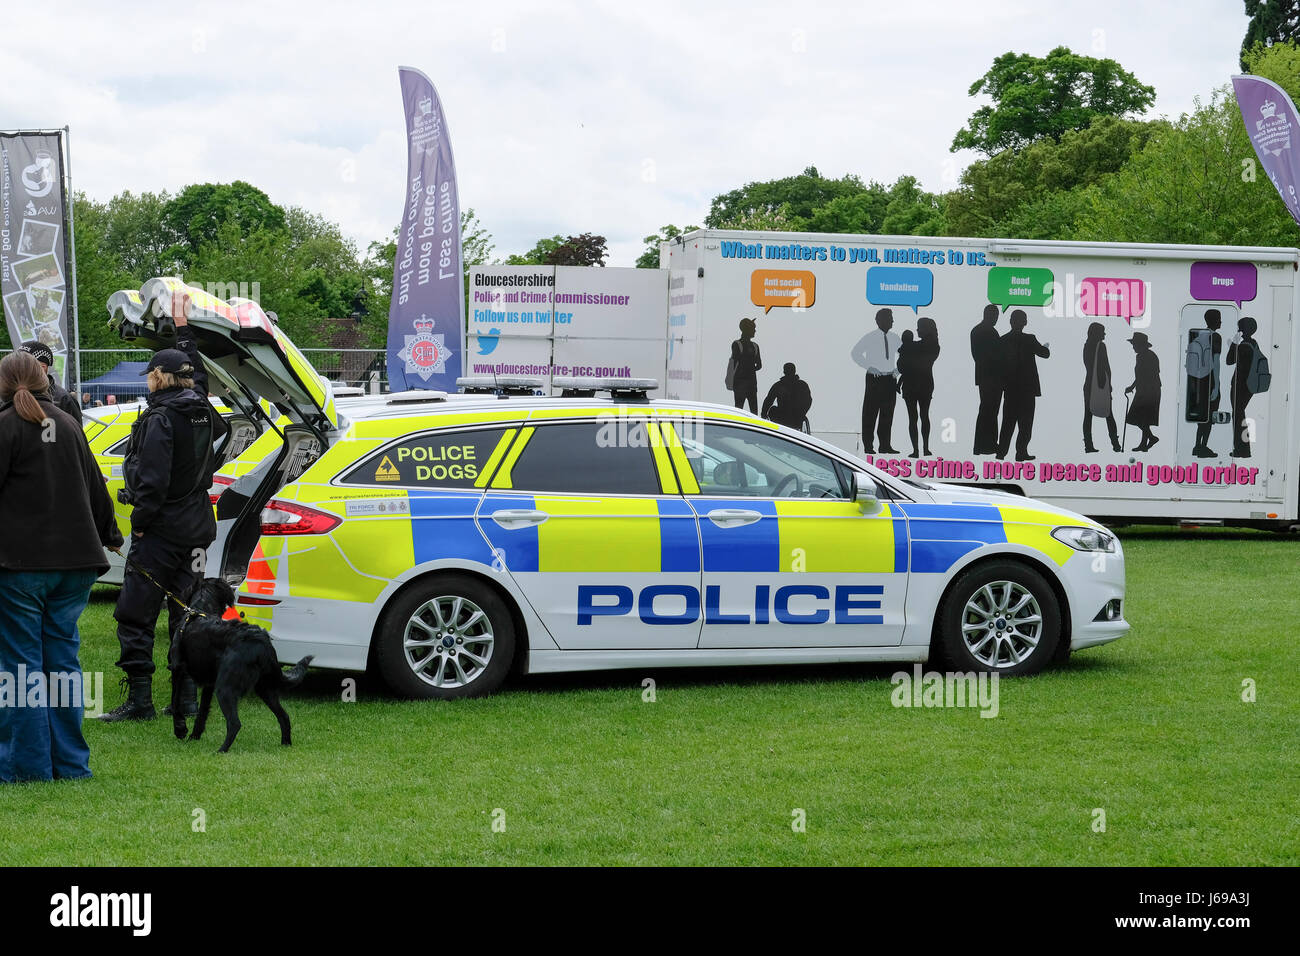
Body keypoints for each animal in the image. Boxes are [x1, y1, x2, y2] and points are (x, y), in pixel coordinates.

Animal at [169, 574, 313, 754]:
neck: (201, 610)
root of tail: (262, 642)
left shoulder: (177, 669)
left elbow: (176, 704)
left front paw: (180, 730)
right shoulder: (209, 684)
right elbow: (202, 712)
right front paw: (194, 736)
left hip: (225, 688)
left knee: (235, 723)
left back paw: (221, 750)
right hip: (264, 687)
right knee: (284, 716)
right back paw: (285, 744)